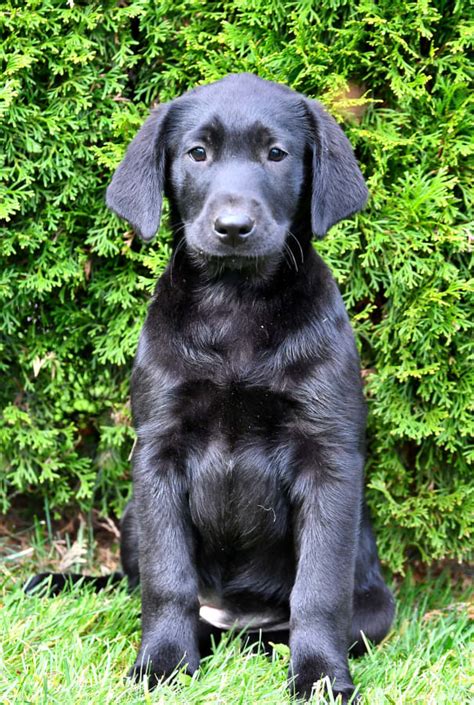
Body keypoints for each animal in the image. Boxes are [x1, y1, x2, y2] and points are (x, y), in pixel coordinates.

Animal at [28, 74, 396, 700]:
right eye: (197, 153)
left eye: (277, 154)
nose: (233, 228)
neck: (235, 303)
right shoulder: (159, 452)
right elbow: (166, 581)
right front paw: (163, 665)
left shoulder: (328, 458)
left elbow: (318, 590)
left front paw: (321, 678)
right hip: (134, 512)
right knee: (143, 589)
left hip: (373, 602)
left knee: (288, 627)